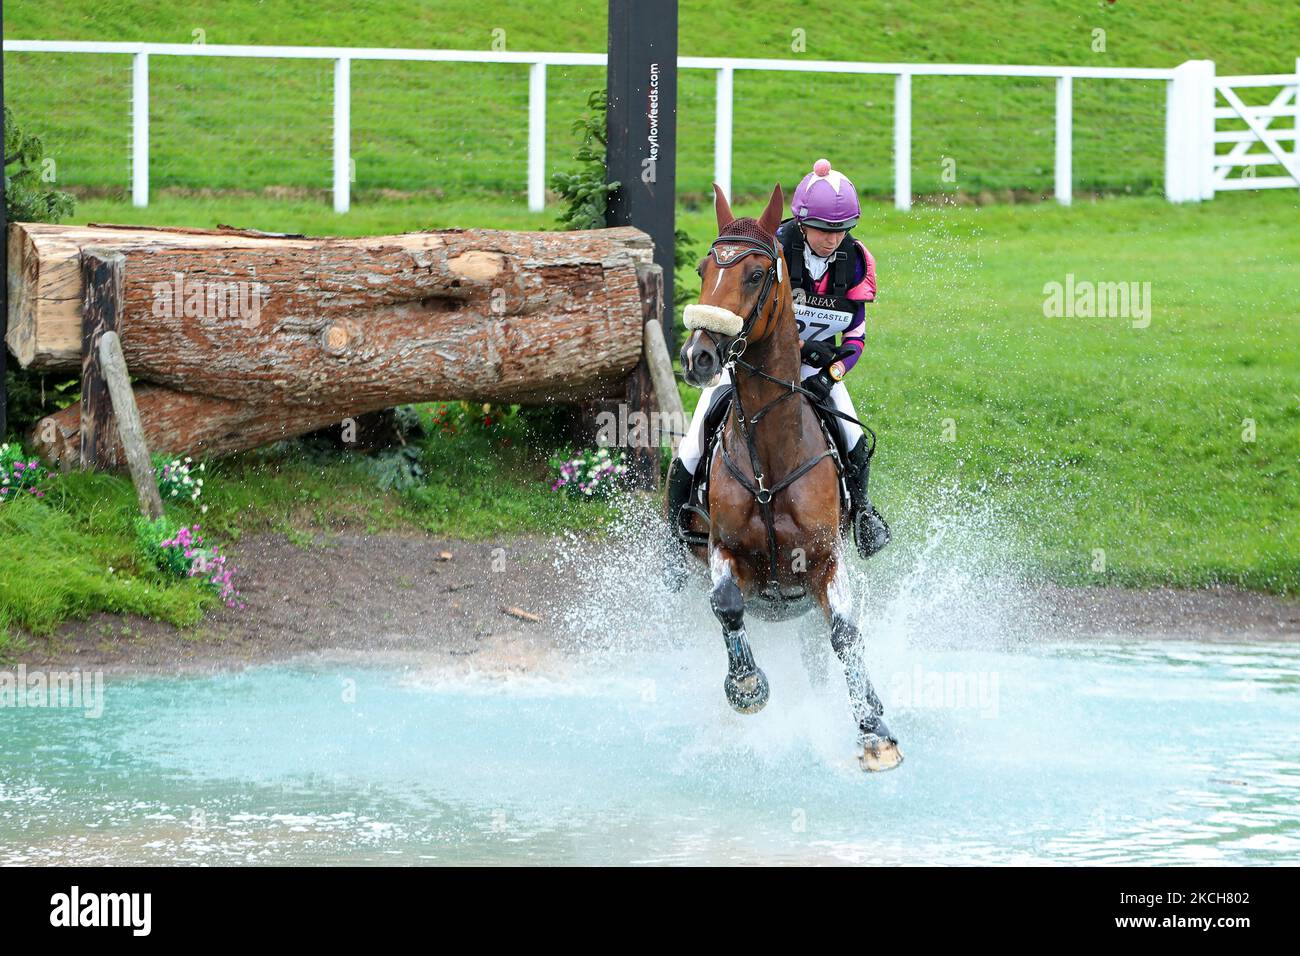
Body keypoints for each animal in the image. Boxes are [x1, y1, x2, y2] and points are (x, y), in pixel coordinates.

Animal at [670, 183, 904, 775]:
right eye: (705, 268)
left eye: (756, 275)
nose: (697, 357)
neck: (770, 462)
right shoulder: (723, 550)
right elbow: (727, 606)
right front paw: (747, 686)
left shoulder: (823, 561)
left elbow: (845, 633)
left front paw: (875, 732)